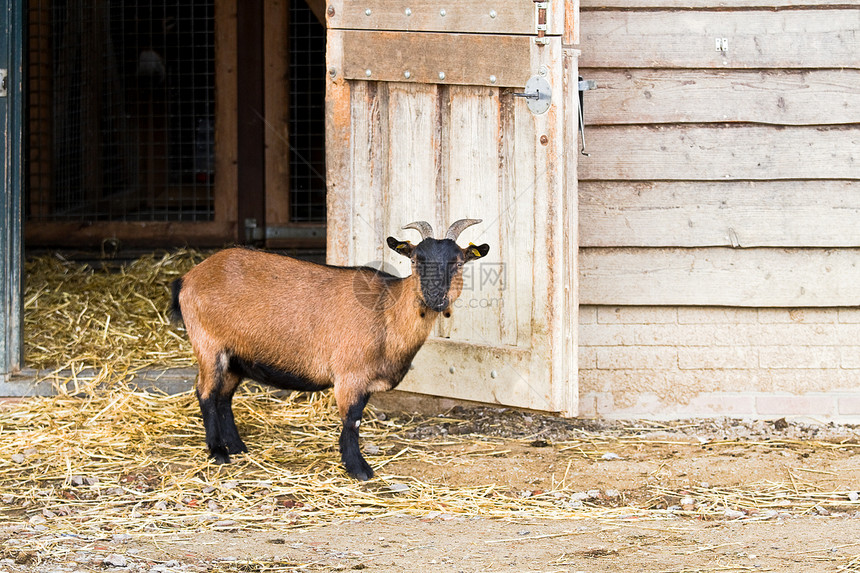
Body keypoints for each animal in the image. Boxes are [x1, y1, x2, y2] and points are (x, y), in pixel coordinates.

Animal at [171, 219, 490, 478]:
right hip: (209, 345)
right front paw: (359, 470)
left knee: (224, 396)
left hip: (236, 355)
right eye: (416, 259)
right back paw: (218, 452)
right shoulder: (350, 376)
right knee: (206, 393)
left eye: (458, 262)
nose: (435, 297)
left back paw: (237, 446)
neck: (386, 313)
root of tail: (187, 278)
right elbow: (352, 421)